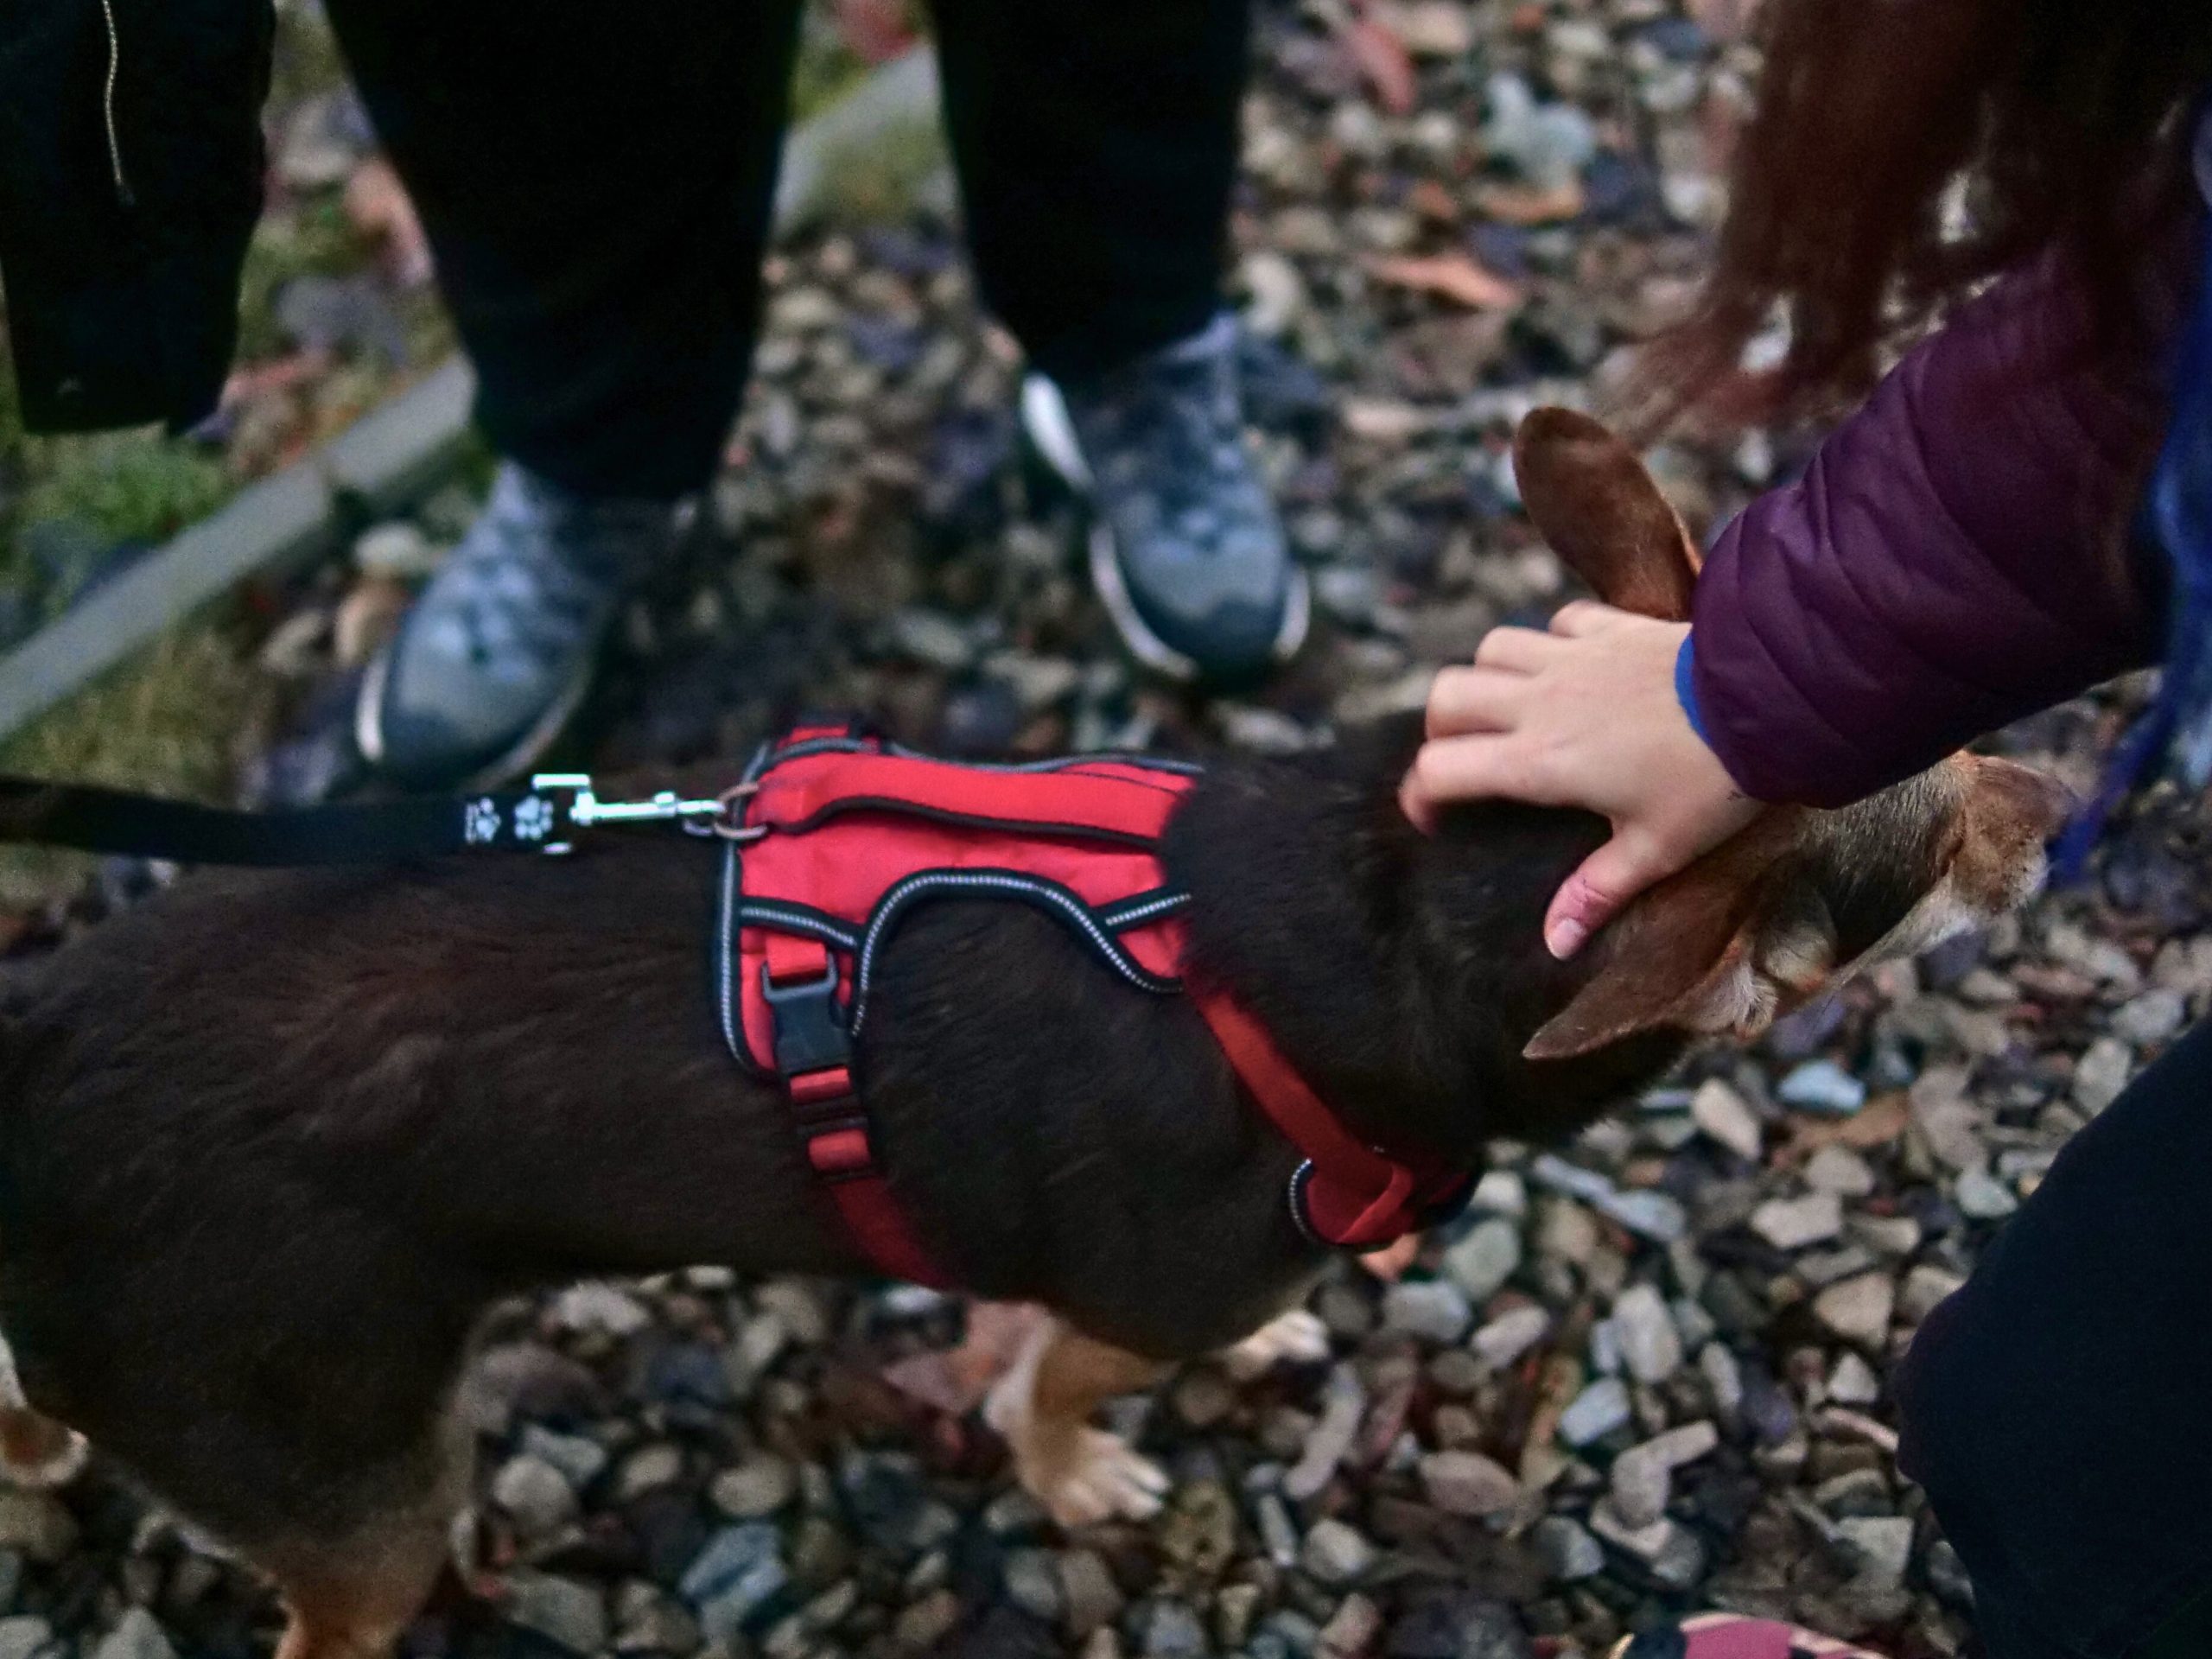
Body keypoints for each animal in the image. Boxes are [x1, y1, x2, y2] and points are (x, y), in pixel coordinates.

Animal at [0, 410, 2065, 1659]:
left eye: (1958, 745)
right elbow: (1054, 1389)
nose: (2061, 805)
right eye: (1939, 836)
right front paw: (1075, 1476)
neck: (1388, 905)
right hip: (352, 1480)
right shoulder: (1136, 1300)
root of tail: (38, 1045)